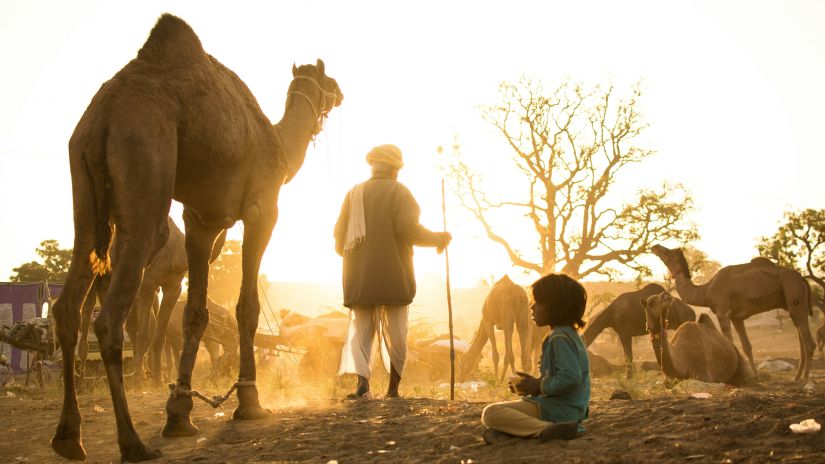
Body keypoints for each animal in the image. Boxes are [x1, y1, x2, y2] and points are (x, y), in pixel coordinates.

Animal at [49, 12, 342, 462]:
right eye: (328, 80)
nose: (340, 93)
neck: (276, 141)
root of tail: (104, 116)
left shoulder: (202, 221)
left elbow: (195, 314)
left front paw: (180, 413)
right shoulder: (262, 209)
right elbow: (245, 308)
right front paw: (249, 402)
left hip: (82, 179)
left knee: (69, 304)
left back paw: (68, 437)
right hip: (145, 157)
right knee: (113, 316)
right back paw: (132, 442)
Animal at [652, 245, 816, 382]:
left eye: (668, 254)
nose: (655, 247)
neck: (705, 291)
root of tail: (802, 279)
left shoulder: (722, 312)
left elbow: (729, 340)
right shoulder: (737, 317)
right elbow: (747, 346)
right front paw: (755, 376)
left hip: (794, 292)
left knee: (808, 341)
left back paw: (805, 378)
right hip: (790, 303)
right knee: (800, 333)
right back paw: (797, 377)